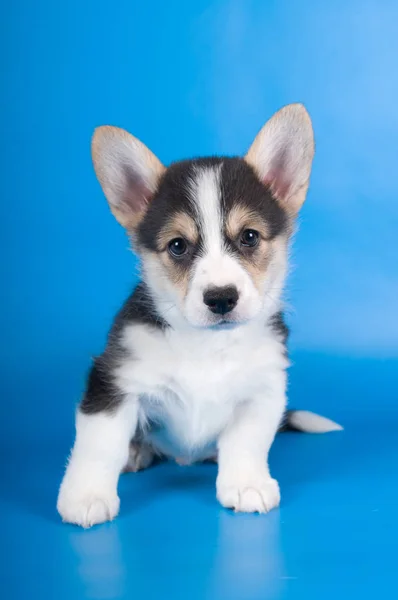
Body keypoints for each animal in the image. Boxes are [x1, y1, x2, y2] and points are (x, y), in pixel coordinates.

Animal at [56, 105, 342, 528]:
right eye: (178, 246)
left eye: (250, 237)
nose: (221, 298)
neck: (209, 344)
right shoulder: (113, 380)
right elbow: (99, 445)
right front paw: (87, 496)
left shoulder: (263, 391)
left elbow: (246, 442)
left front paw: (246, 484)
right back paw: (136, 452)